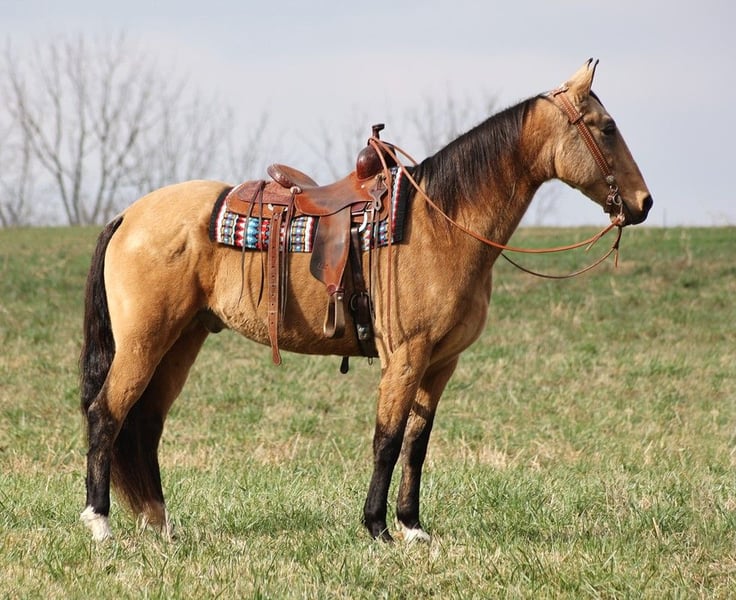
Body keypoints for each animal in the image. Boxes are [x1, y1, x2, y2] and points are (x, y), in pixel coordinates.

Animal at [79, 62, 656, 544]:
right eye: (606, 127)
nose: (644, 203)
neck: (441, 224)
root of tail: (129, 215)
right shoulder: (405, 355)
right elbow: (388, 438)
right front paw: (377, 529)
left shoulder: (441, 363)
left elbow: (417, 443)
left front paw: (413, 527)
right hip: (145, 341)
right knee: (106, 413)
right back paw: (100, 523)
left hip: (182, 340)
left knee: (145, 424)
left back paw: (160, 524)